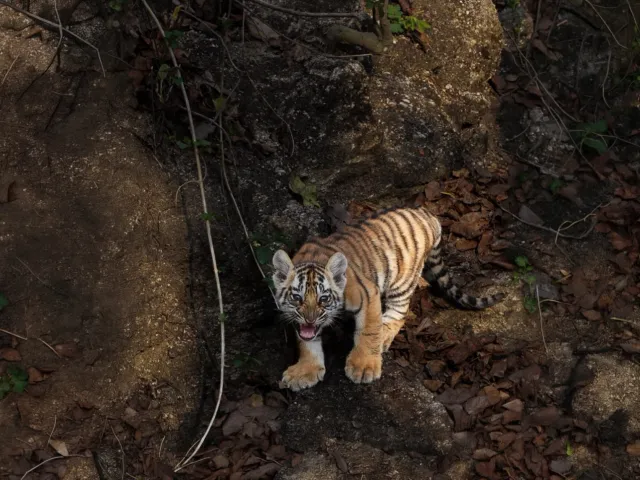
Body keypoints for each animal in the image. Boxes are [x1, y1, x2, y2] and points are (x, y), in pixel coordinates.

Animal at [272, 204, 504, 391]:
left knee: (399, 314)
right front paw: (305, 370)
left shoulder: (367, 294)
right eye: (296, 298)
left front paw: (364, 366)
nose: (310, 319)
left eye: (324, 299)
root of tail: (426, 213)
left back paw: (383, 335)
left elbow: (368, 331)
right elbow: (306, 342)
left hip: (402, 279)